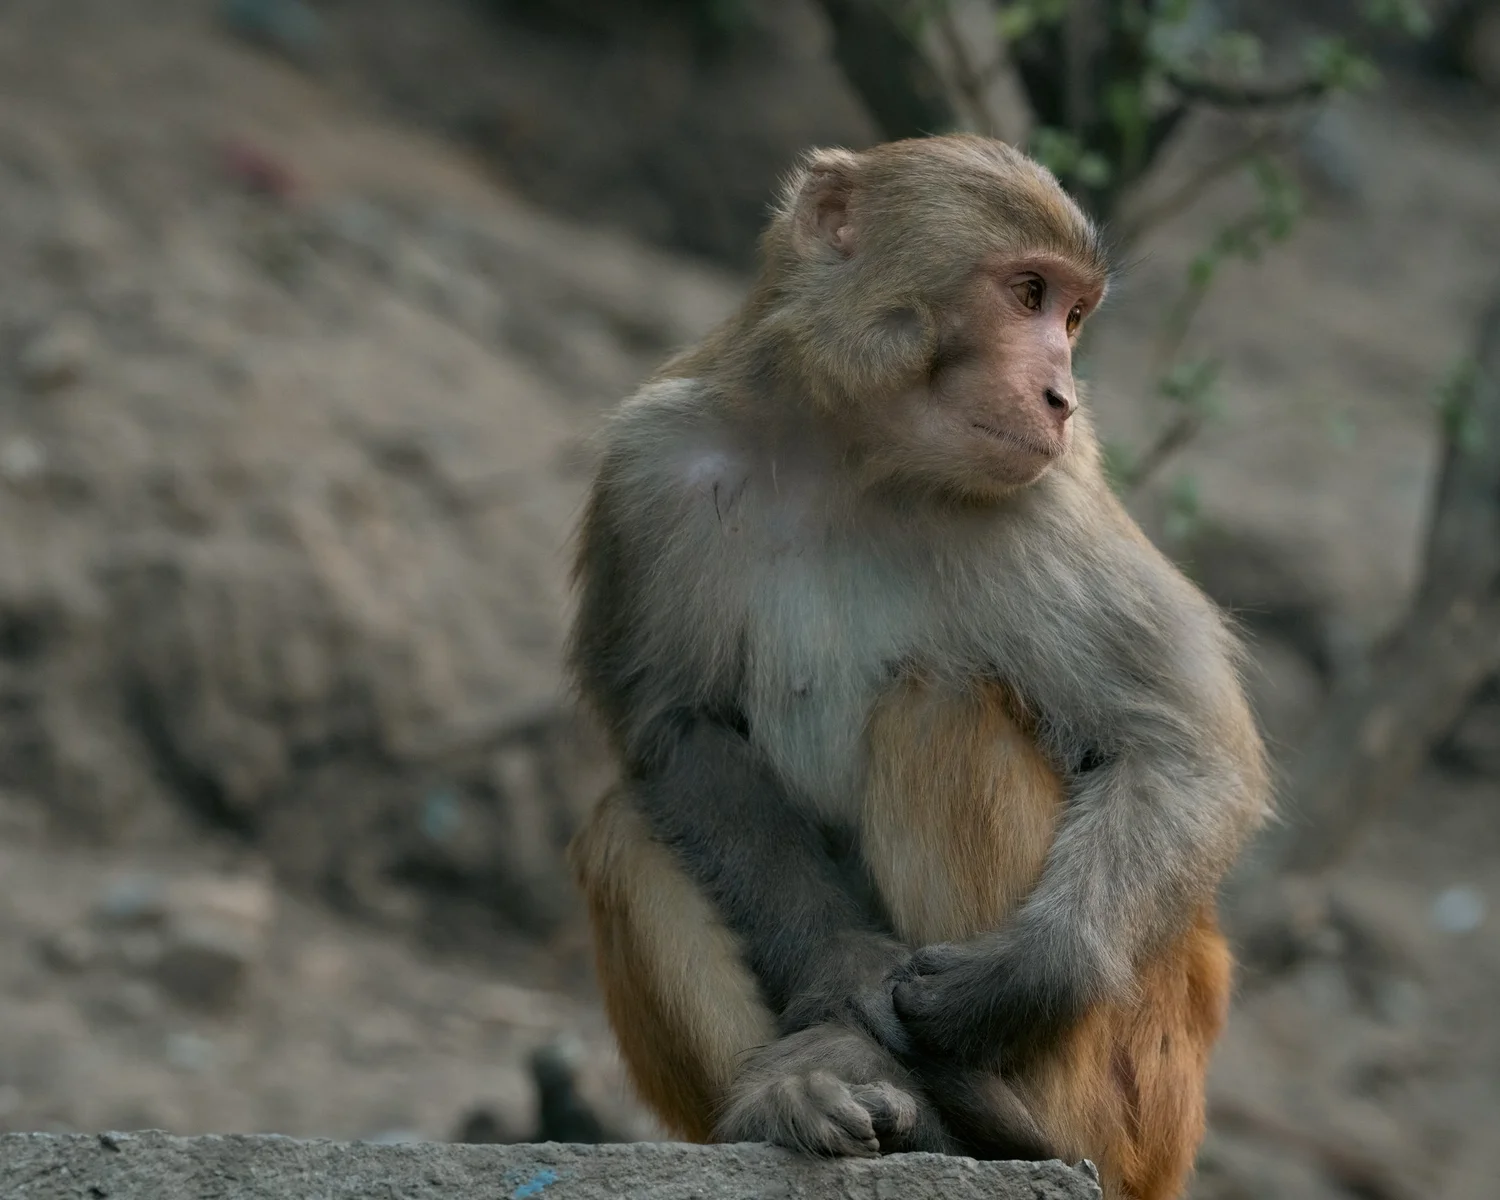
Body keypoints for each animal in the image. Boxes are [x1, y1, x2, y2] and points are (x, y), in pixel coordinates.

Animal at [565, 134, 1270, 1200]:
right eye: (1028, 294)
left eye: (1071, 316)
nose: (1062, 396)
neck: (853, 458)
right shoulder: (650, 468)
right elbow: (678, 730)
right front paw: (843, 975)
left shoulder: (1052, 498)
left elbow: (1186, 747)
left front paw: (1024, 976)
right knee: (623, 825)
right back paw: (798, 1090)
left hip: (1132, 1088)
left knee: (942, 706)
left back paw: (997, 1122)